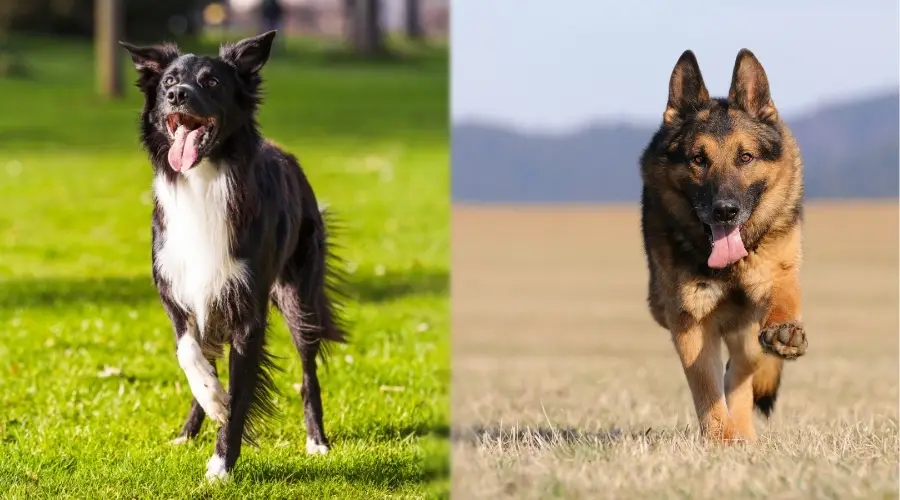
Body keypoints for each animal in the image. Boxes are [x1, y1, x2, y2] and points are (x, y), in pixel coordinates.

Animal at [119, 31, 344, 480]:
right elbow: (189, 354)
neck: (203, 179)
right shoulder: (178, 291)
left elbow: (241, 394)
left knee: (308, 372)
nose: (177, 95)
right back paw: (190, 428)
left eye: (212, 82)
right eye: (169, 80)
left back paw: (317, 441)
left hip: (299, 297)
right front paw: (212, 399)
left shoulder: (247, 310)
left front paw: (222, 465)